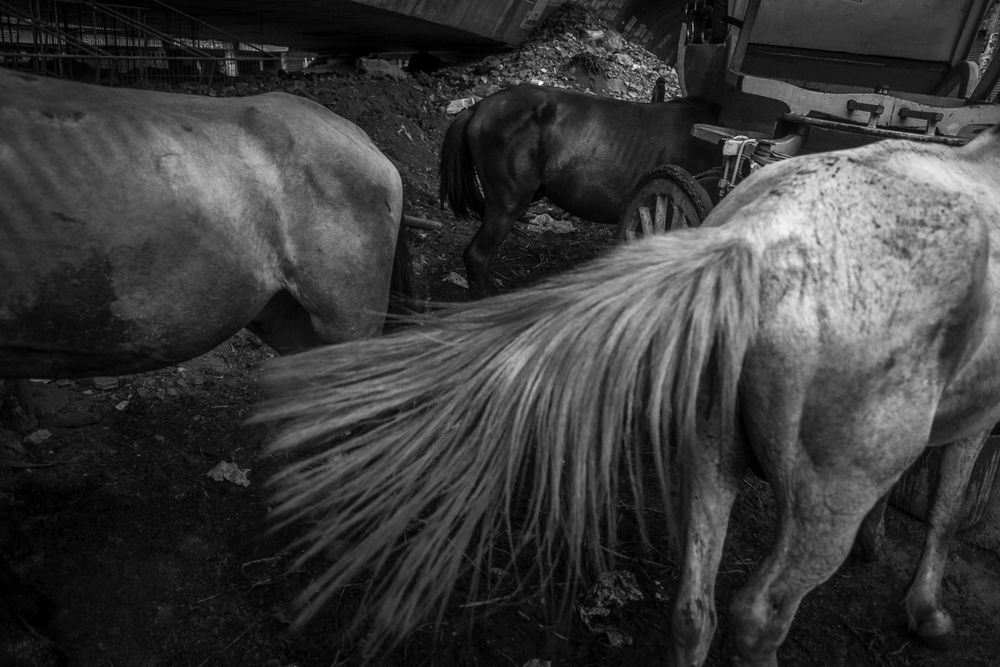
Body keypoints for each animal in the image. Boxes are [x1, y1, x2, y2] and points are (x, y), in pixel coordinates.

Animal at [259, 126, 1000, 666]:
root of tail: (755, 240)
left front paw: (882, 542)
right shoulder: (979, 420)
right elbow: (944, 511)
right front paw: (926, 608)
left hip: (711, 451)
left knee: (694, 611)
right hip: (822, 502)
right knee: (756, 617)